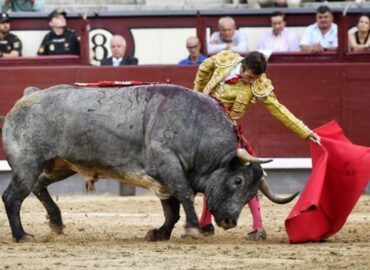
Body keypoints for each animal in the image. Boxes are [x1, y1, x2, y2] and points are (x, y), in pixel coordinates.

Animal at [0, 83, 294, 242]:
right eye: (237, 180)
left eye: (252, 192)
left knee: (38, 186)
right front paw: (193, 228)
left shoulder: (162, 177)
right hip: (27, 164)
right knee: (13, 196)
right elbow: (185, 195)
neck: (196, 130)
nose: (230, 221)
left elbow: (171, 210)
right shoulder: (168, 165)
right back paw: (22, 235)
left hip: (60, 164)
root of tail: (29, 95)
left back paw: (56, 222)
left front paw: (160, 233)